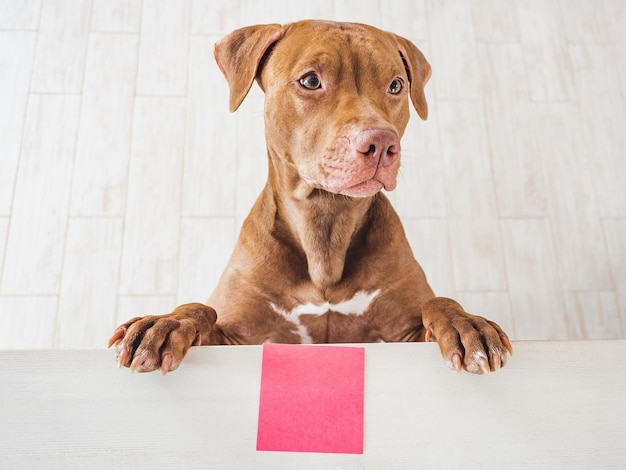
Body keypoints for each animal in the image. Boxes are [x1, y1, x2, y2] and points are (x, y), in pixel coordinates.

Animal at [107, 21, 510, 374]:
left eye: (395, 85)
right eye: (311, 81)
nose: (381, 143)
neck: (325, 221)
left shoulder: (406, 334)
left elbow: (438, 303)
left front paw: (467, 323)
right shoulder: (233, 336)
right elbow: (202, 310)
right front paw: (165, 323)